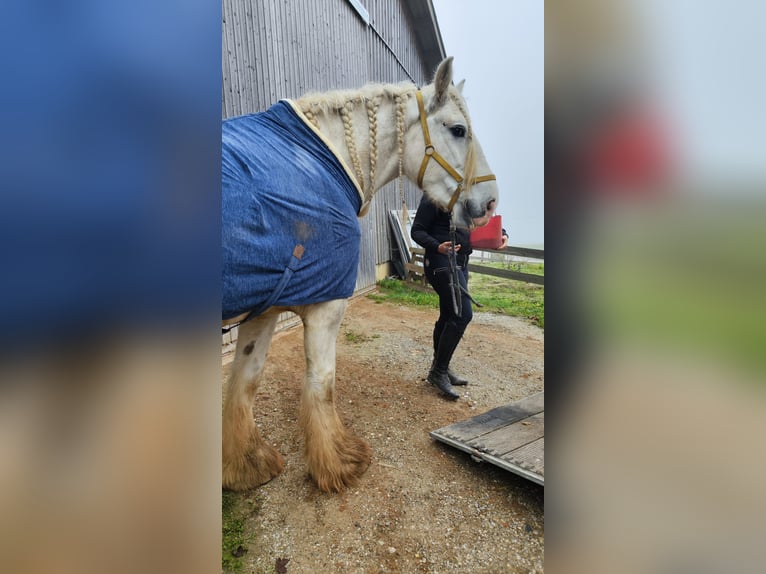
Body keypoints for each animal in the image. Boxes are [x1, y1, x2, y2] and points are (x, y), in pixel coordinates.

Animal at [222, 57, 500, 496]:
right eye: (458, 129)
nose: (489, 203)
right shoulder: (325, 307)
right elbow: (322, 384)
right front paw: (339, 465)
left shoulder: (263, 312)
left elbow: (244, 383)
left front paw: (246, 466)